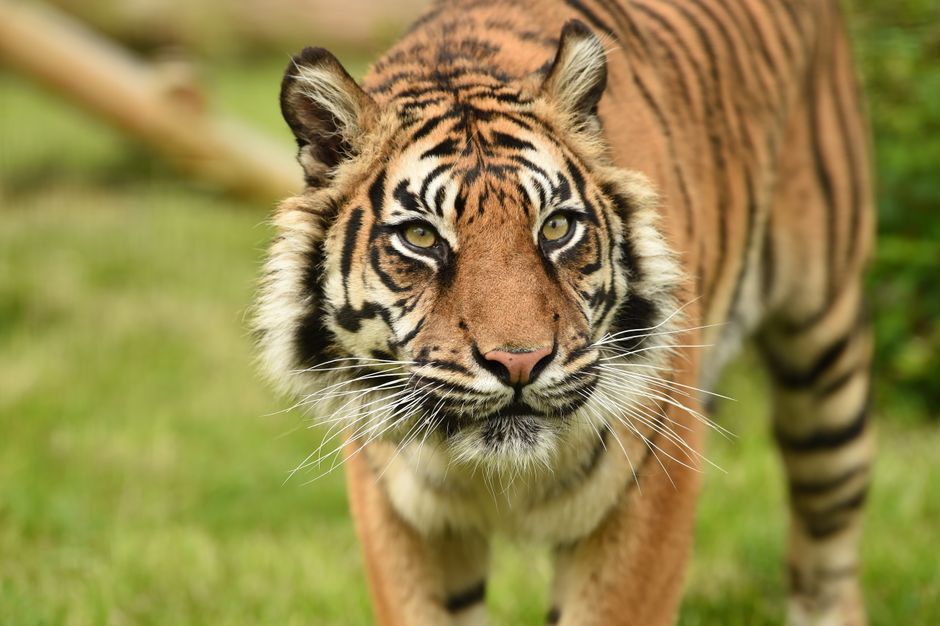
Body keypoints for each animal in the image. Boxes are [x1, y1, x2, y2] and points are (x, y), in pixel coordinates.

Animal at [253, 0, 874, 624]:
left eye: (555, 227)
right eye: (421, 237)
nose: (519, 363)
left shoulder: (651, 486)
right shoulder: (397, 509)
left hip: (825, 368)